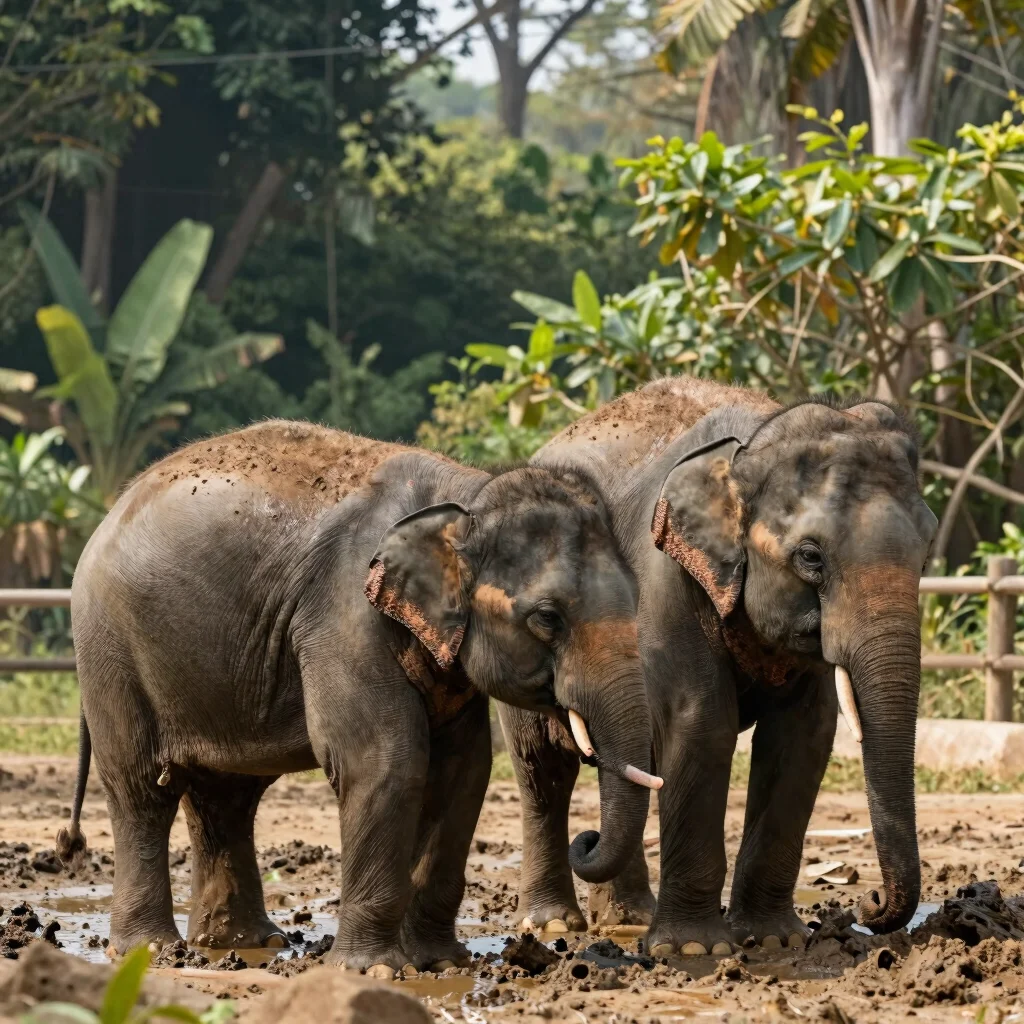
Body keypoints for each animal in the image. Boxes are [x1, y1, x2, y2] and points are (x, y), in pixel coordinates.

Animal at [55, 419, 660, 973]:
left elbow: (463, 771)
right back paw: (151, 951)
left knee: (225, 795)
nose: (587, 837)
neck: (467, 495)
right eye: (547, 617)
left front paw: (442, 963)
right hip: (111, 650)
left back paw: (243, 944)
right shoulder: (344, 614)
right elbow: (384, 760)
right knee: (141, 790)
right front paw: (375, 970)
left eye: (636, 600)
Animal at [500, 377, 936, 955]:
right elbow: (700, 721)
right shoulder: (666, 577)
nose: (869, 904)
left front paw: (775, 941)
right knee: (543, 770)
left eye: (927, 550)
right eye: (811, 557)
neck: (751, 444)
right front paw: (692, 950)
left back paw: (629, 919)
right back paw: (553, 924)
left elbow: (805, 734)